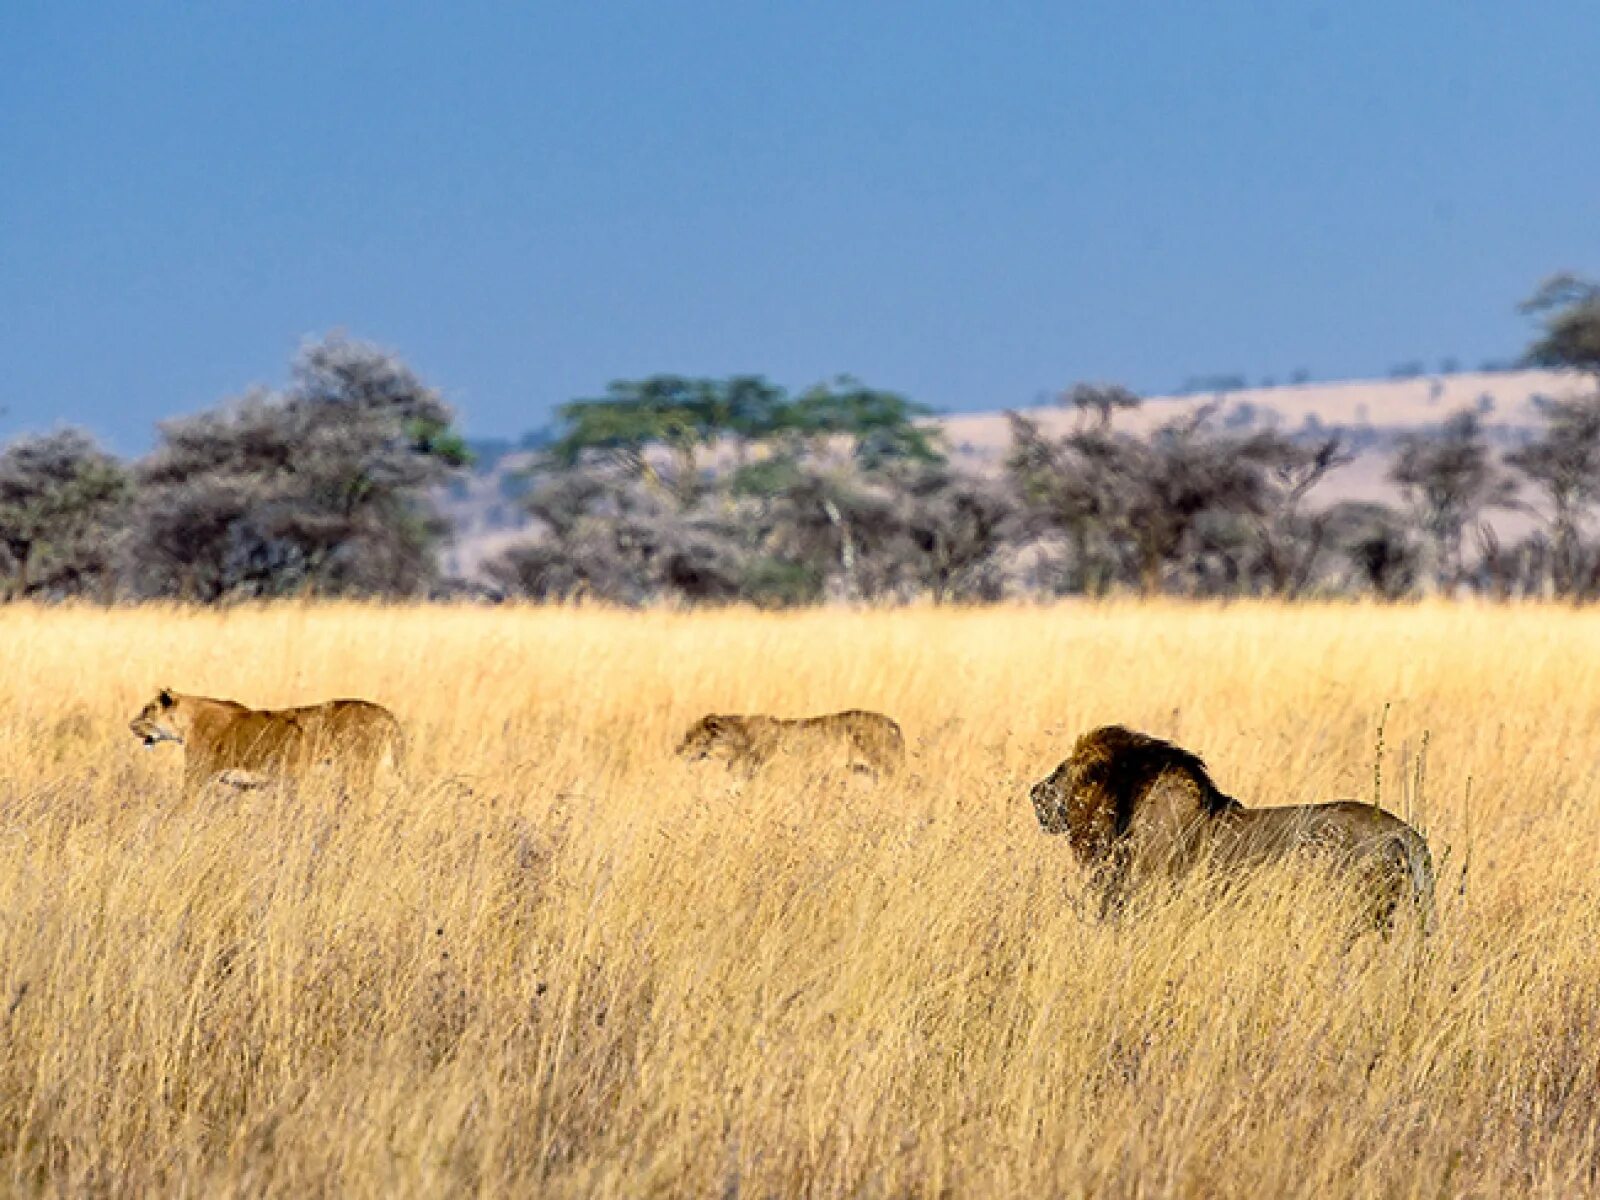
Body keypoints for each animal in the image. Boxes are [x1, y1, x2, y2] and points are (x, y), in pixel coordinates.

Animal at [130, 684, 406, 800]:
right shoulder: (243, 785)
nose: (131, 726)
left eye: (146, 710)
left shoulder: (196, 777)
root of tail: (388, 714)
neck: (187, 723)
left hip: (358, 772)